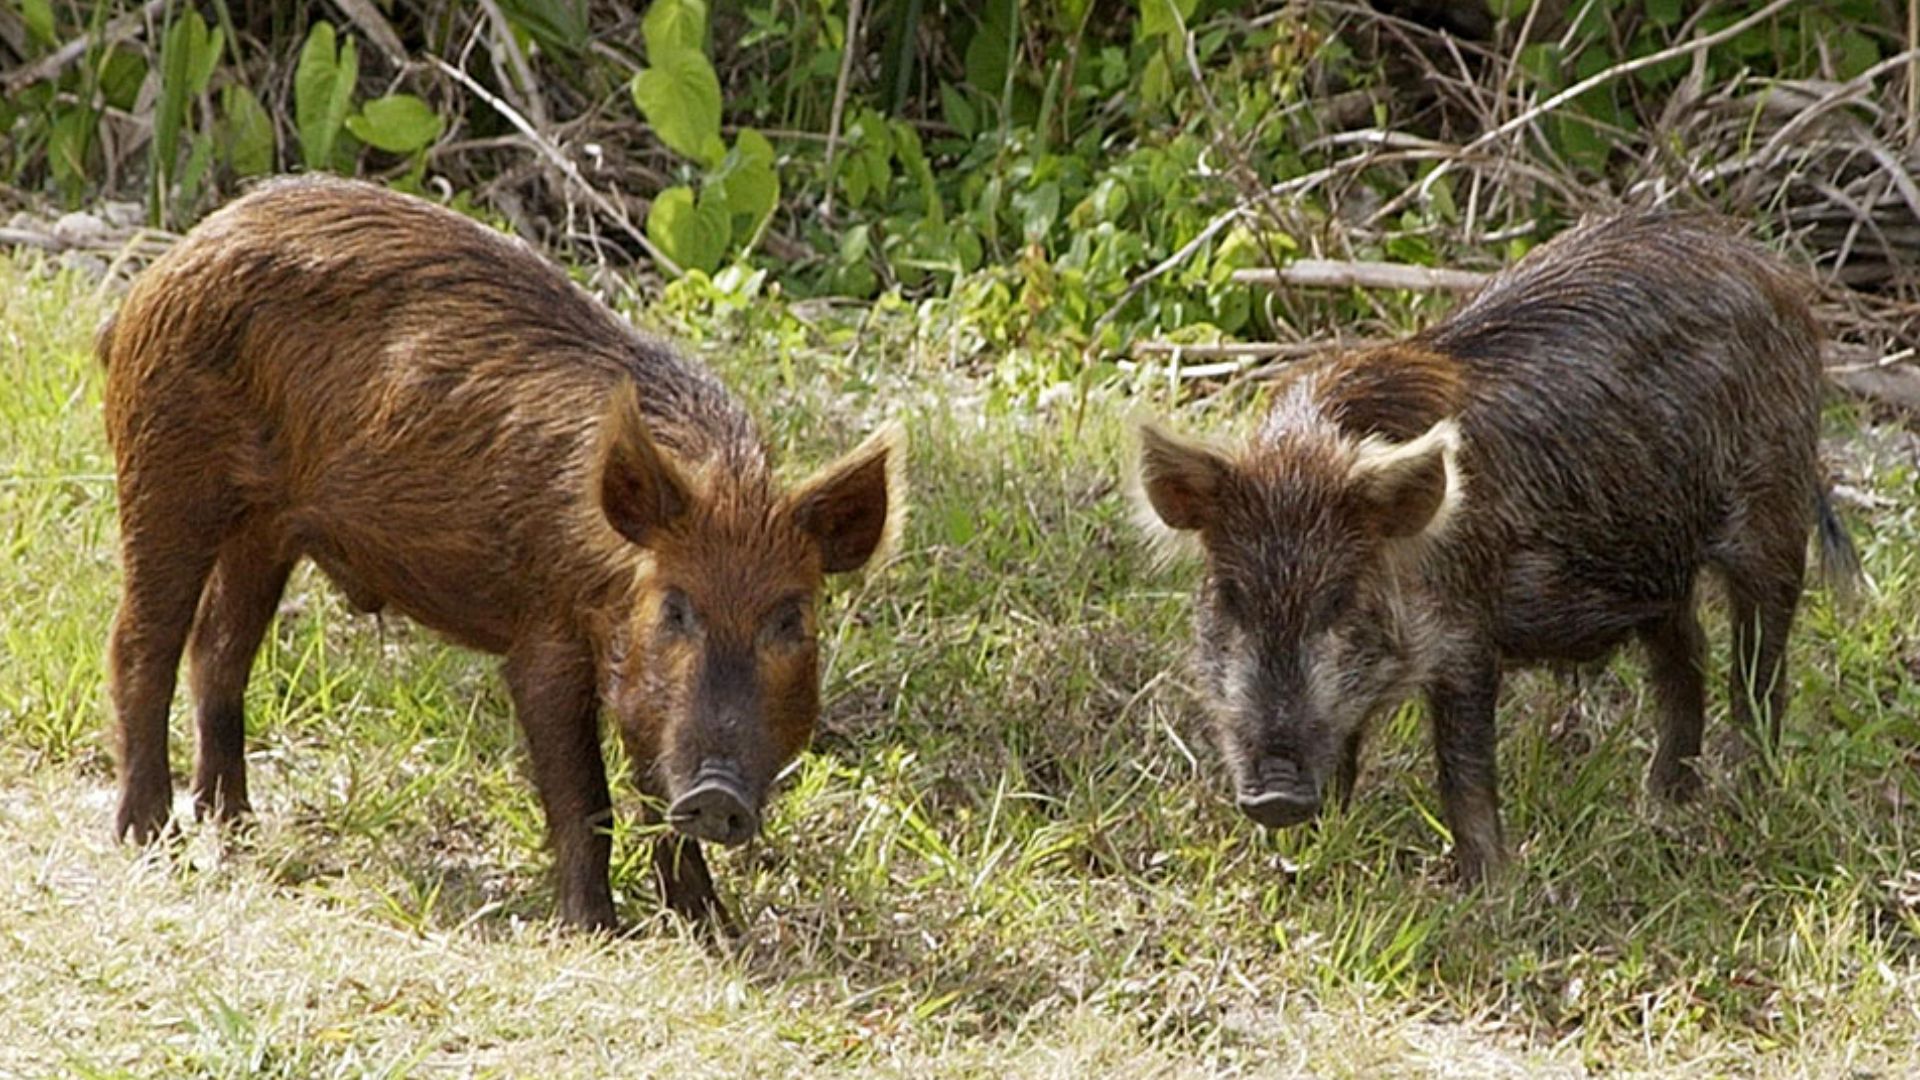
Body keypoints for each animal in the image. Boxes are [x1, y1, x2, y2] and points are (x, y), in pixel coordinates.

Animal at [100, 176, 905, 929]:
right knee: (142, 642)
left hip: (266, 527)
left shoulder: (642, 686)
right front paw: (594, 930)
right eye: (675, 608)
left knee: (219, 650)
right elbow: (585, 794)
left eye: (791, 619)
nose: (717, 793)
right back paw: (151, 836)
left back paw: (234, 823)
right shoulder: (544, 637)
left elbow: (653, 793)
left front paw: (714, 929)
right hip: (165, 468)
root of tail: (165, 265)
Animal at [1134, 213, 1858, 883]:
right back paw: (1664, 804)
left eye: (1340, 599)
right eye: (1231, 597)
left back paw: (1745, 797)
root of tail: (1774, 274)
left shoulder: (1465, 636)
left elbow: (1463, 766)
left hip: (1771, 515)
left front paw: (1486, 887)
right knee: (1686, 657)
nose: (1276, 796)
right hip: (1655, 566)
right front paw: (1303, 858)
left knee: (1760, 671)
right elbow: (1346, 748)